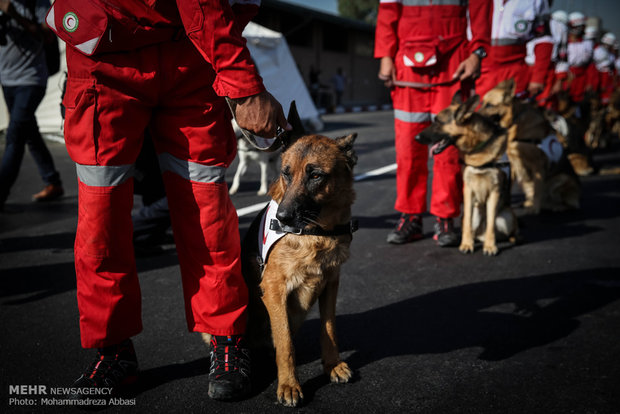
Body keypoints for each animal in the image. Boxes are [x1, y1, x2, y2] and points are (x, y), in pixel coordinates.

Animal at [237, 105, 356, 406]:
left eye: (315, 176)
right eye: (286, 174)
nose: (282, 218)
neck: (316, 232)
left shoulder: (331, 284)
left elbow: (329, 329)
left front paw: (332, 365)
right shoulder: (274, 290)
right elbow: (286, 343)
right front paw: (289, 385)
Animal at [416, 93, 520, 256]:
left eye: (438, 122)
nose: (416, 138)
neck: (477, 149)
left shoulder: (494, 192)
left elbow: (491, 223)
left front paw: (490, 246)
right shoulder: (468, 191)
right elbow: (467, 225)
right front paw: (466, 244)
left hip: (507, 215)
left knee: (506, 229)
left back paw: (509, 239)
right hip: (476, 214)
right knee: (471, 227)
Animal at [480, 79, 580, 213]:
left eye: (489, 105)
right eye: (482, 103)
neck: (515, 120)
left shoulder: (537, 165)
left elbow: (537, 189)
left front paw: (534, 210)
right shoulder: (513, 163)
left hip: (562, 178)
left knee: (566, 203)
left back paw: (554, 206)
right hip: (526, 182)